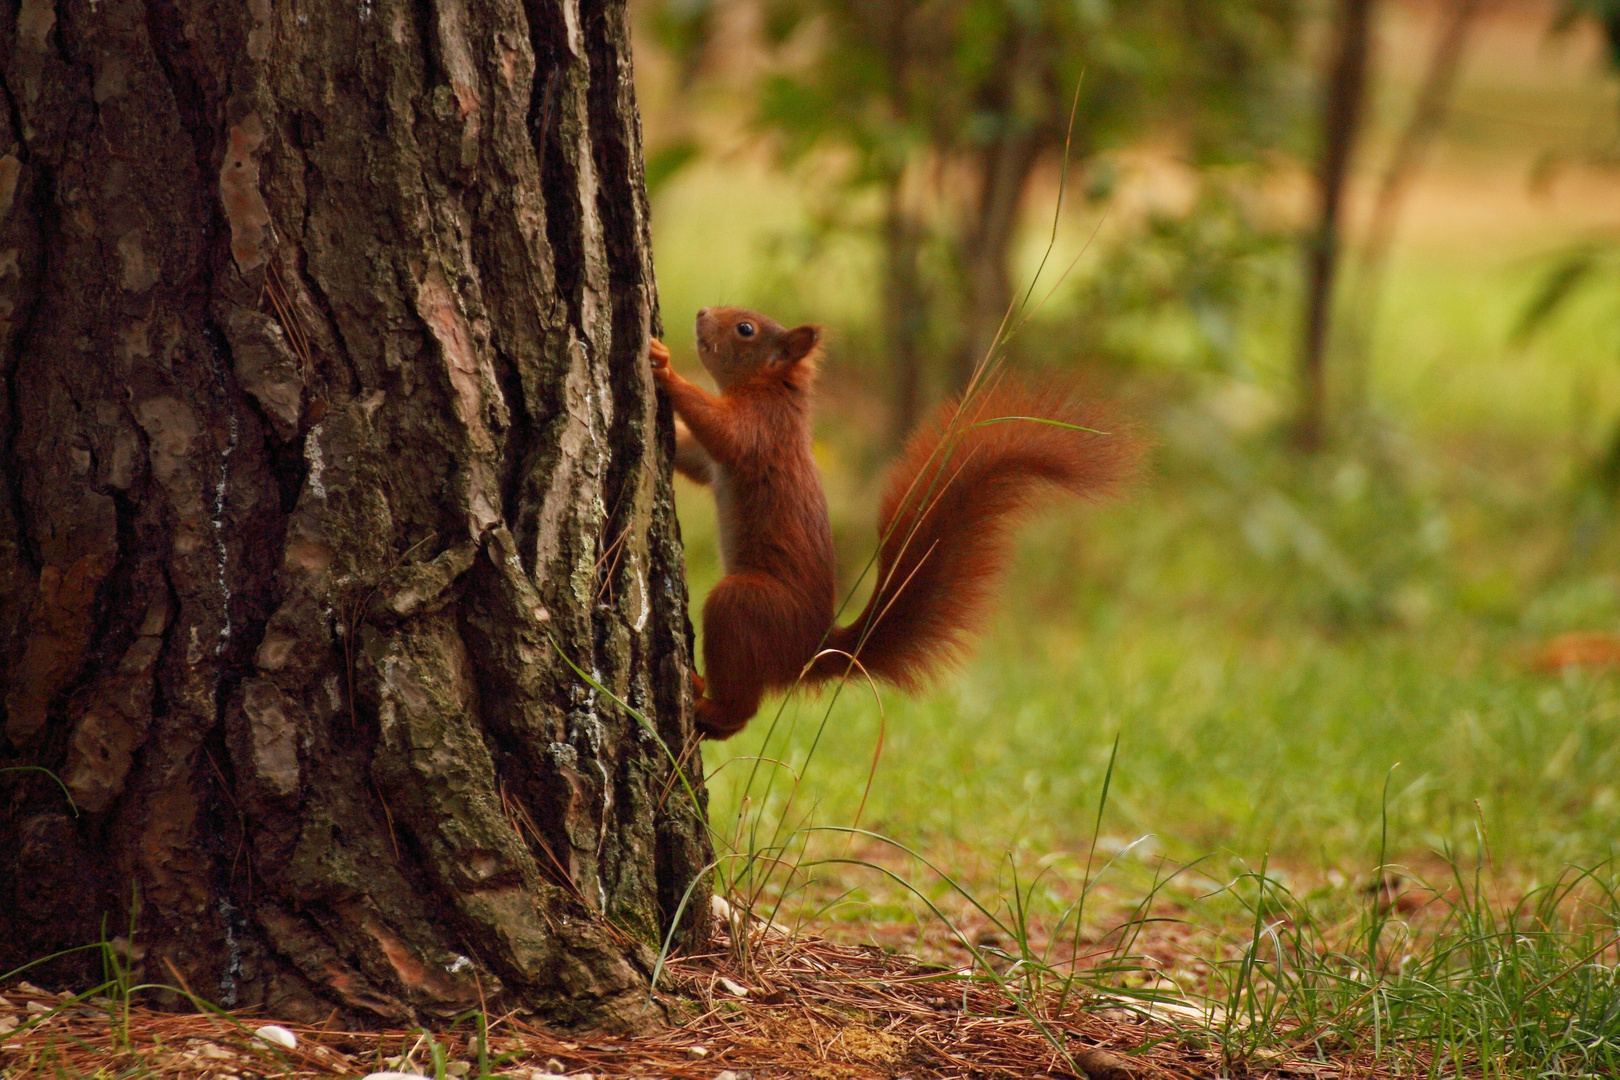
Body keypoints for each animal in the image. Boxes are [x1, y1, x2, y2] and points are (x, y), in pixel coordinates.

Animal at [648, 307, 1140, 738]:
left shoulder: (761, 430)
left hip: (750, 605)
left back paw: (709, 705)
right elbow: (695, 457)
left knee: (743, 705)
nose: (701, 313)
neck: (773, 388)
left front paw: (664, 367)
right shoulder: (715, 460)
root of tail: (812, 649)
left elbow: (721, 429)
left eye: (745, 329)